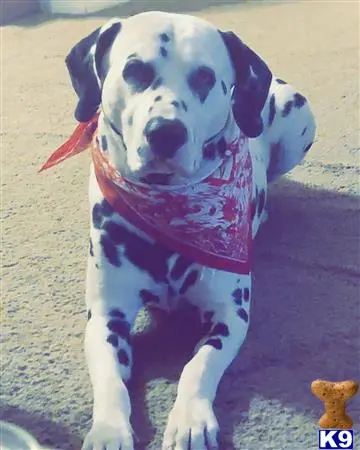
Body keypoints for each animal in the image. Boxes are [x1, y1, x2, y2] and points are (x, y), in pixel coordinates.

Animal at [64, 10, 316, 450]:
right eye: (134, 70)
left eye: (203, 77)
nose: (165, 132)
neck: (169, 206)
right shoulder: (106, 319)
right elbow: (111, 381)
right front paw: (110, 429)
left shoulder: (230, 315)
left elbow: (198, 366)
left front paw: (190, 420)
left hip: (298, 123)